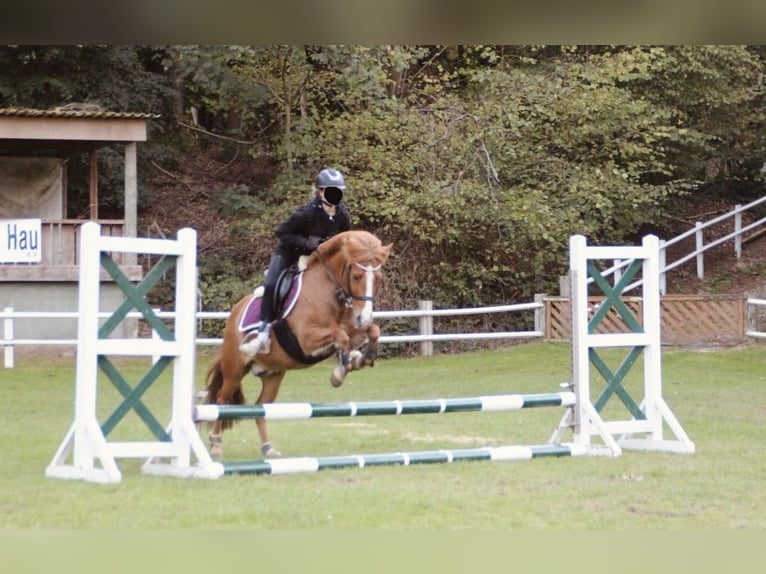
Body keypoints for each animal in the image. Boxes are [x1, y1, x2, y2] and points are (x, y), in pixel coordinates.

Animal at [203, 230, 392, 459]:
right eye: (356, 276)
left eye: (378, 278)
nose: (363, 317)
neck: (330, 292)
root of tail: (235, 312)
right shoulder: (305, 339)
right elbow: (341, 336)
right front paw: (340, 372)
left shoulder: (353, 329)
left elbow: (371, 331)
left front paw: (360, 358)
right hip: (234, 369)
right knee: (222, 400)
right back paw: (216, 444)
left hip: (273, 374)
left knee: (261, 408)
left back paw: (268, 449)